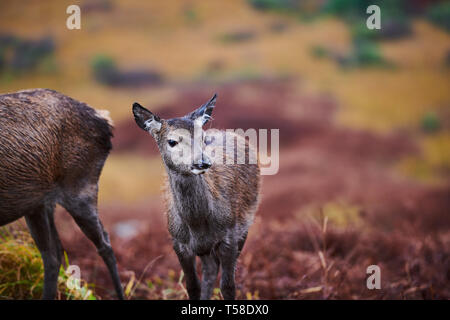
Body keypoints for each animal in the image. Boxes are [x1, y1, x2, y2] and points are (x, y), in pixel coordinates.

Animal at [133, 95, 260, 300]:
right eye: (172, 141)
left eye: (203, 138)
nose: (202, 162)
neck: (197, 224)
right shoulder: (178, 243)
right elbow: (193, 286)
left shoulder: (231, 235)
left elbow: (228, 287)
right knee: (209, 270)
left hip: (245, 224)